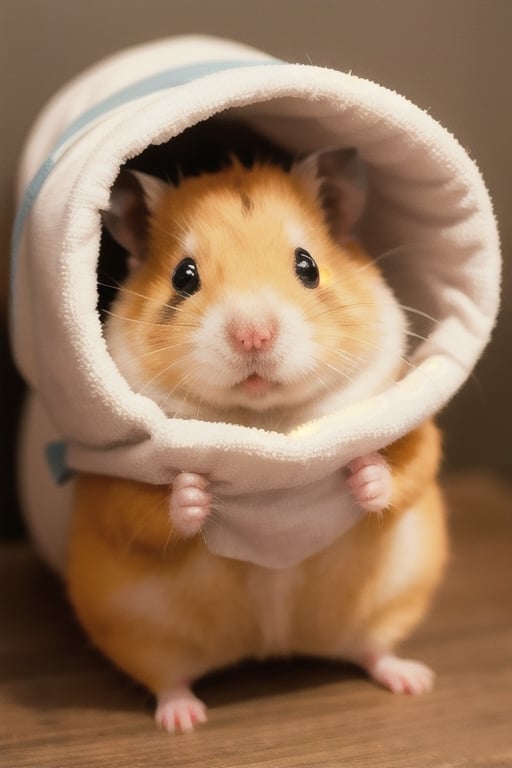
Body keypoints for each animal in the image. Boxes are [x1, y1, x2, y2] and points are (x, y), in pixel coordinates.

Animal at [66, 141, 446, 736]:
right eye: (184, 276)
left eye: (307, 265)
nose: (253, 336)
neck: (266, 423)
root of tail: (273, 647)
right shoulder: (110, 477)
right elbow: (147, 508)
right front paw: (197, 490)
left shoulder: (413, 425)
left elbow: (403, 469)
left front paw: (362, 469)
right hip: (136, 631)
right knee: (167, 678)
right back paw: (182, 720)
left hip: (393, 600)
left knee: (374, 649)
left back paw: (412, 680)